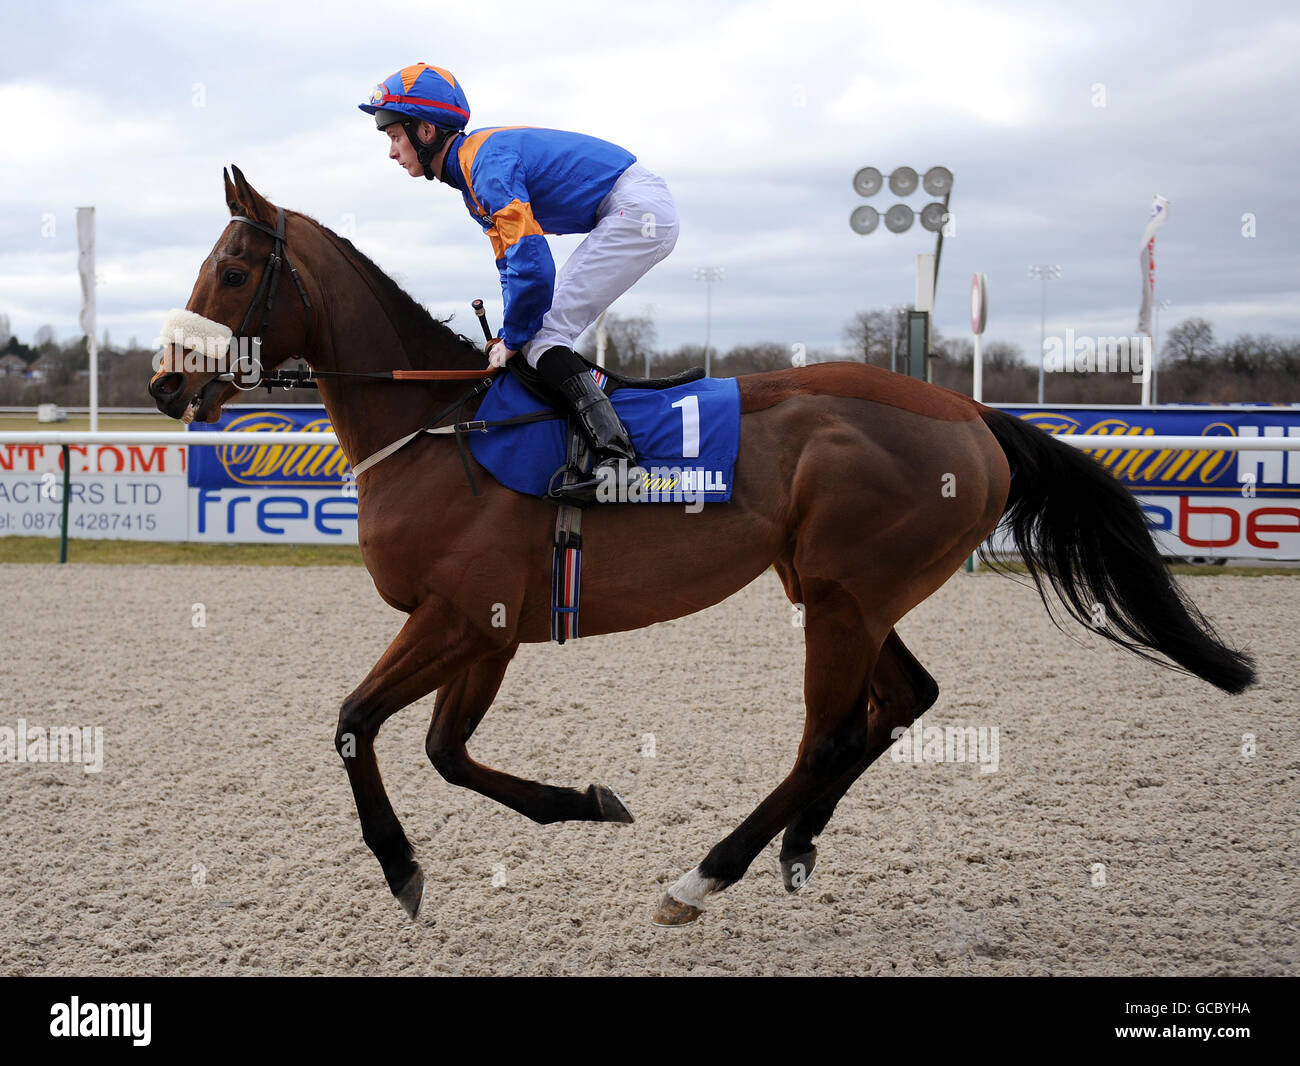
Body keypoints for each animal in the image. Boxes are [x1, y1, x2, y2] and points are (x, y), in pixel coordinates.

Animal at [147, 166, 1253, 925]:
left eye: (233, 268)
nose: (164, 384)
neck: (440, 425)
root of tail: (971, 411)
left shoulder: (463, 615)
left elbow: (355, 724)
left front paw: (403, 868)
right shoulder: (491, 629)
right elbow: (444, 749)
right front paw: (585, 802)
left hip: (846, 595)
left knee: (829, 733)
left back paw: (705, 874)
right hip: (838, 587)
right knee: (900, 701)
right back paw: (796, 846)